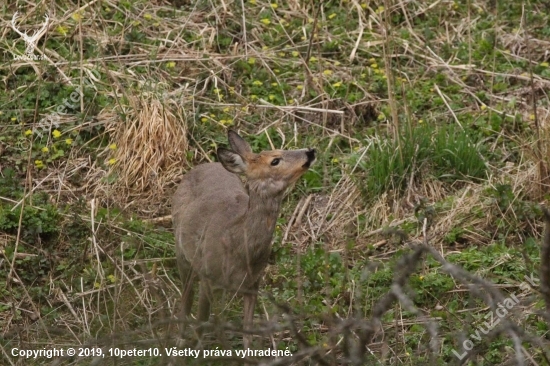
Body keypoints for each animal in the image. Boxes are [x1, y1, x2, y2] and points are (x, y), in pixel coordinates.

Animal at [175, 131, 316, 346]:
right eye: (275, 160)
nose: (310, 151)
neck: (239, 245)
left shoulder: (253, 283)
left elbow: (247, 331)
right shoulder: (208, 278)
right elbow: (202, 325)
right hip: (181, 252)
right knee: (186, 298)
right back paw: (180, 337)